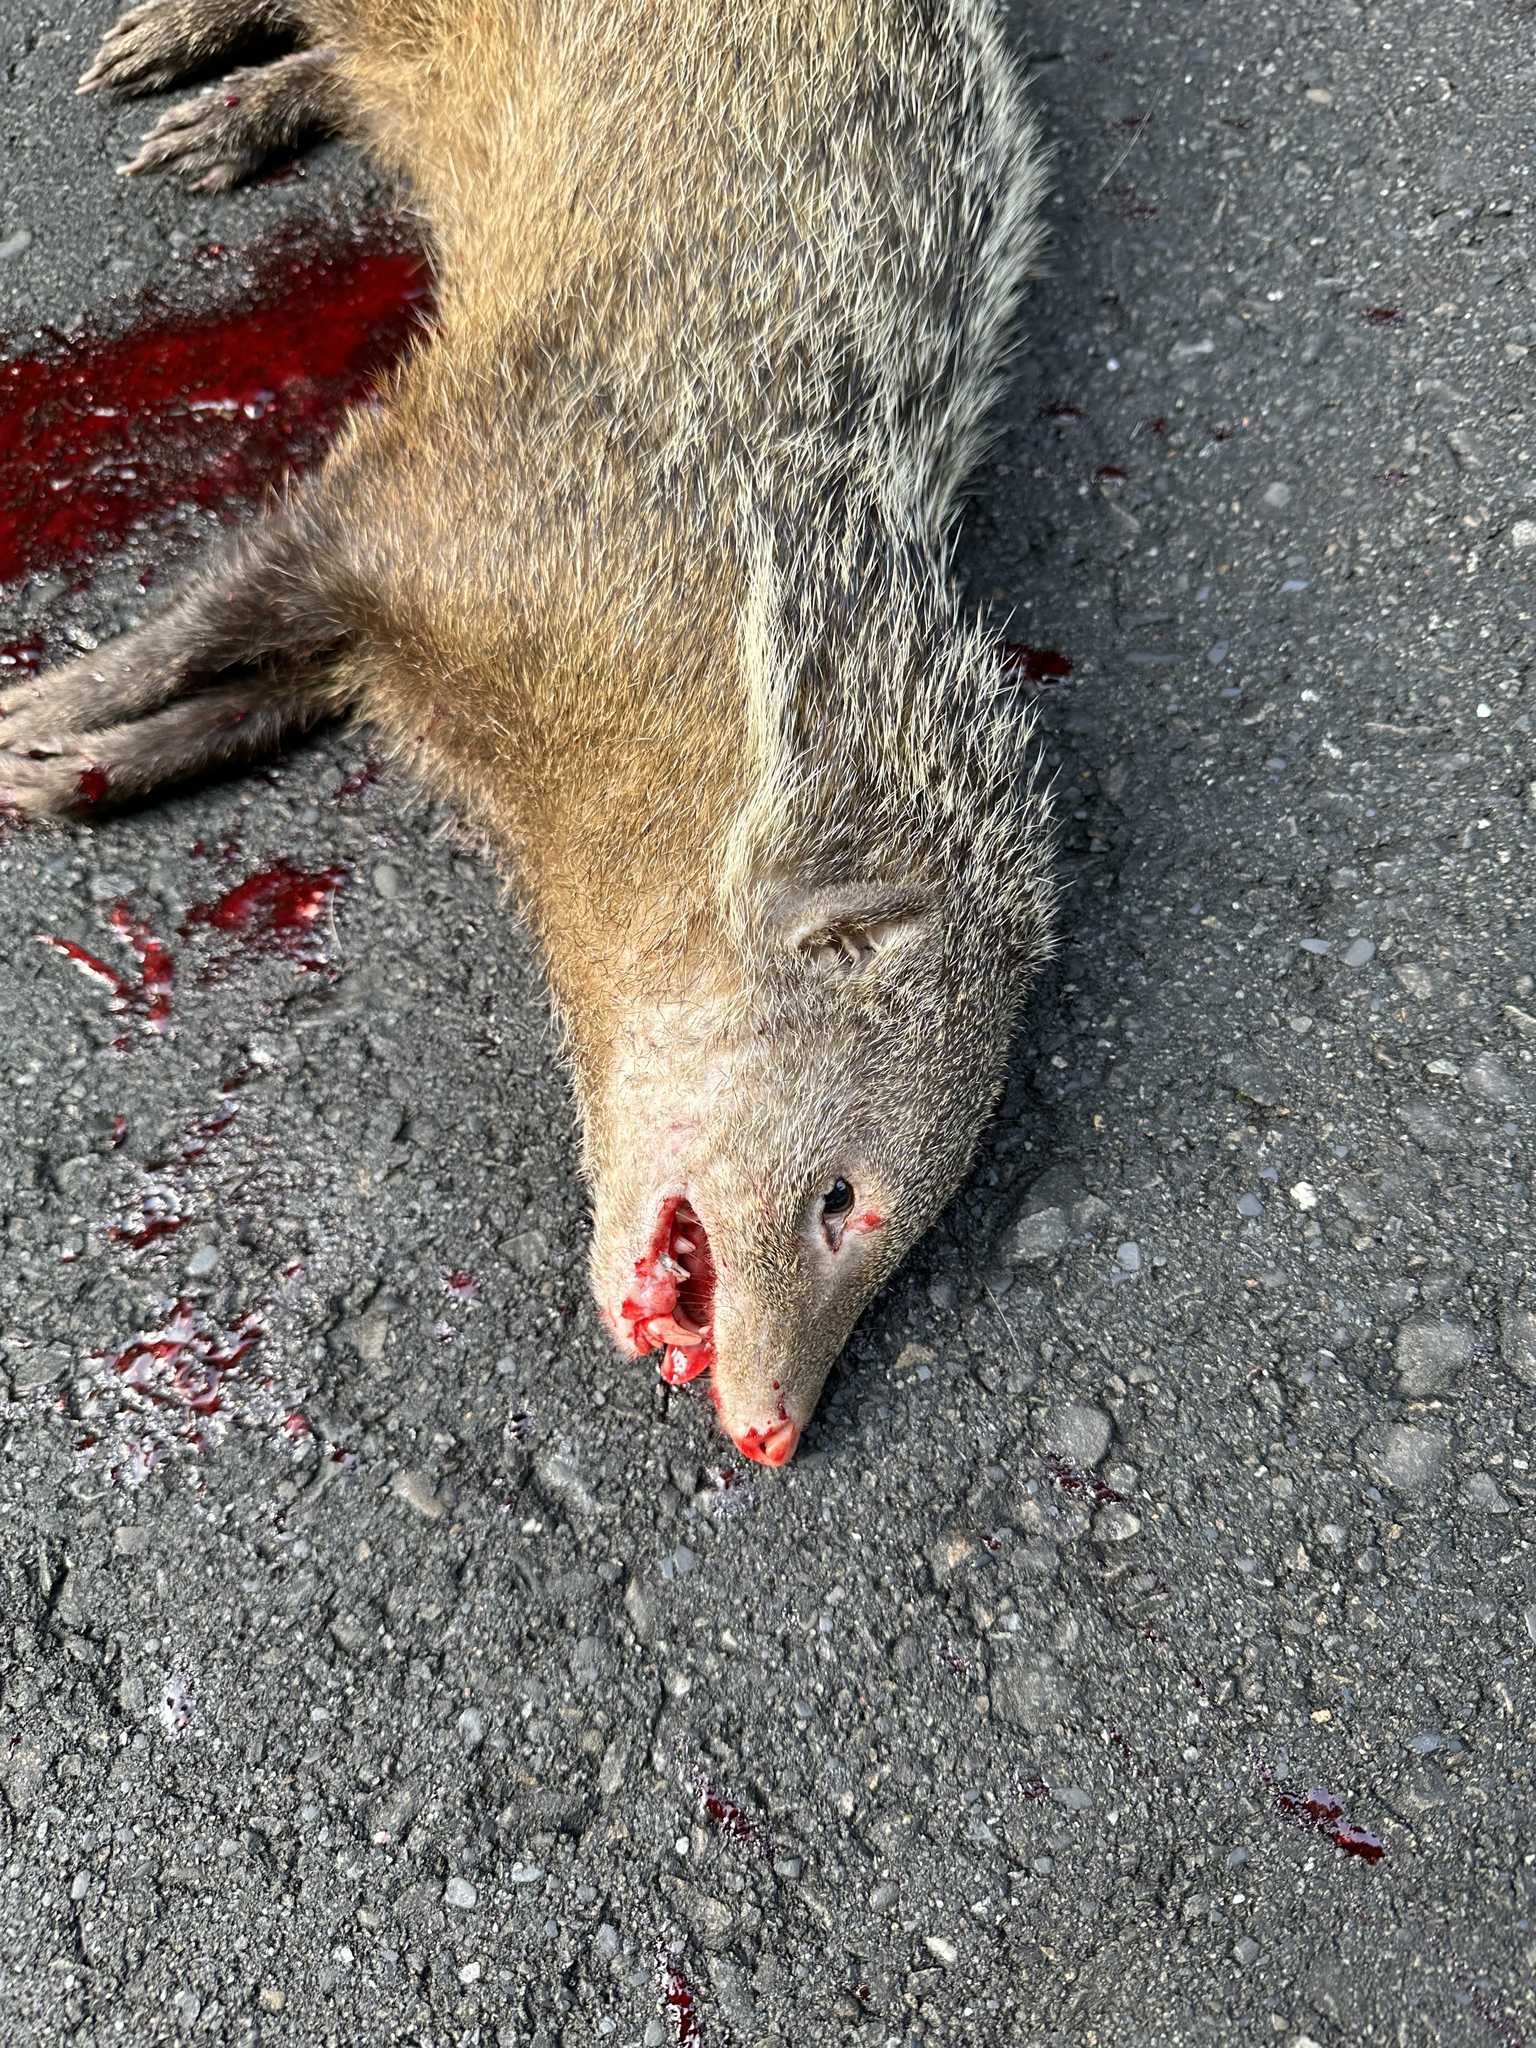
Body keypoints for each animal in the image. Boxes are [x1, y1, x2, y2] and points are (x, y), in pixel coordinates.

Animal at [1, 0, 1054, 1465]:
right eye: (846, 1200)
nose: (776, 1428)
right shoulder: (431, 499)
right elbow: (213, 614)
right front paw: (49, 708)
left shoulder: (405, 631)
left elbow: (255, 696)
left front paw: (80, 768)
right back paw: (187, 56)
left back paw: (244, 111)